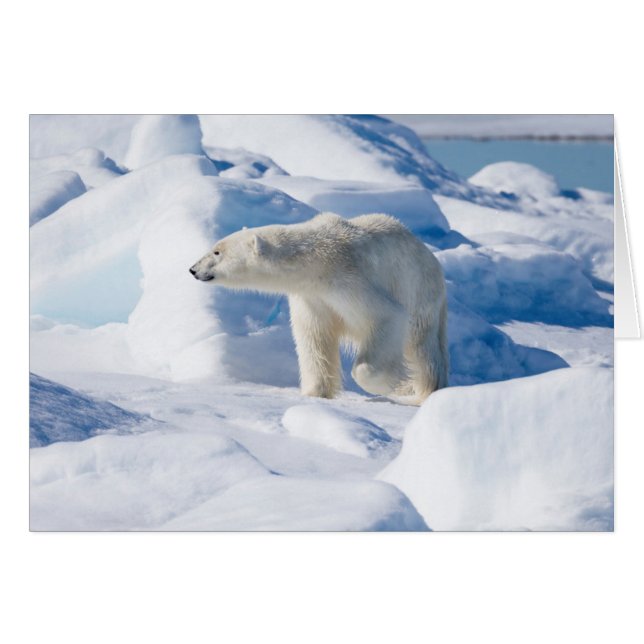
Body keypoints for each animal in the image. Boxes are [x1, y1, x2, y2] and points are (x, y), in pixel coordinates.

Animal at [189, 213, 449, 404]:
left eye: (217, 252)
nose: (193, 269)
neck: (315, 260)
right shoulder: (312, 298)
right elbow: (314, 338)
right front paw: (315, 392)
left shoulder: (348, 279)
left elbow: (387, 316)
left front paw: (400, 386)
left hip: (418, 290)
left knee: (422, 348)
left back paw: (424, 390)